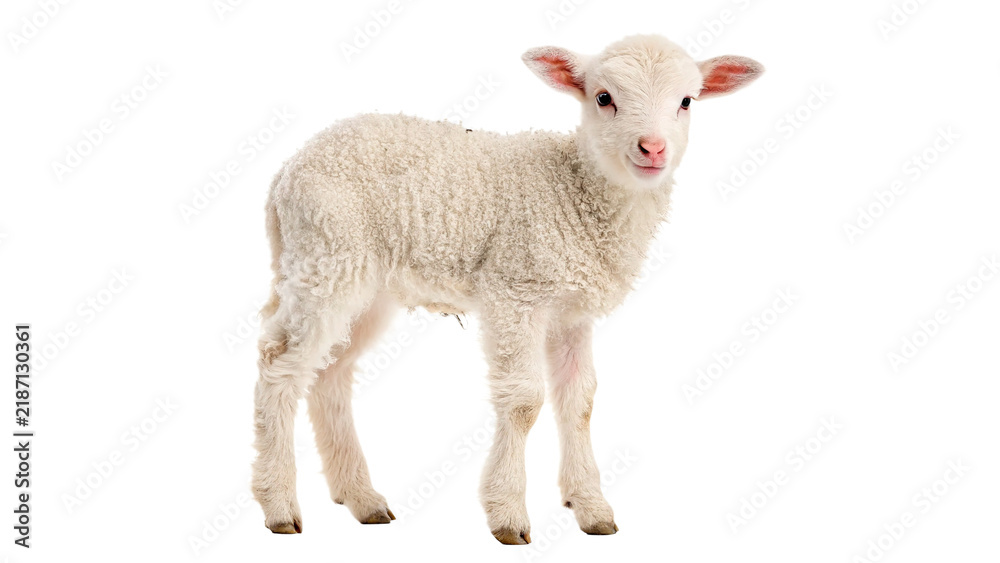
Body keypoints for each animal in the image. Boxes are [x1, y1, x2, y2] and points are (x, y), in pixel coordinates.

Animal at [251, 33, 763, 544]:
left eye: (686, 102)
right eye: (603, 98)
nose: (652, 148)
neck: (575, 189)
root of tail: (285, 172)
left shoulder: (573, 311)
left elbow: (580, 401)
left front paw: (591, 507)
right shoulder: (516, 292)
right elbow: (524, 402)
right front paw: (509, 513)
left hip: (366, 285)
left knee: (330, 374)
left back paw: (362, 498)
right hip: (328, 256)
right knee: (281, 367)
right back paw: (279, 505)